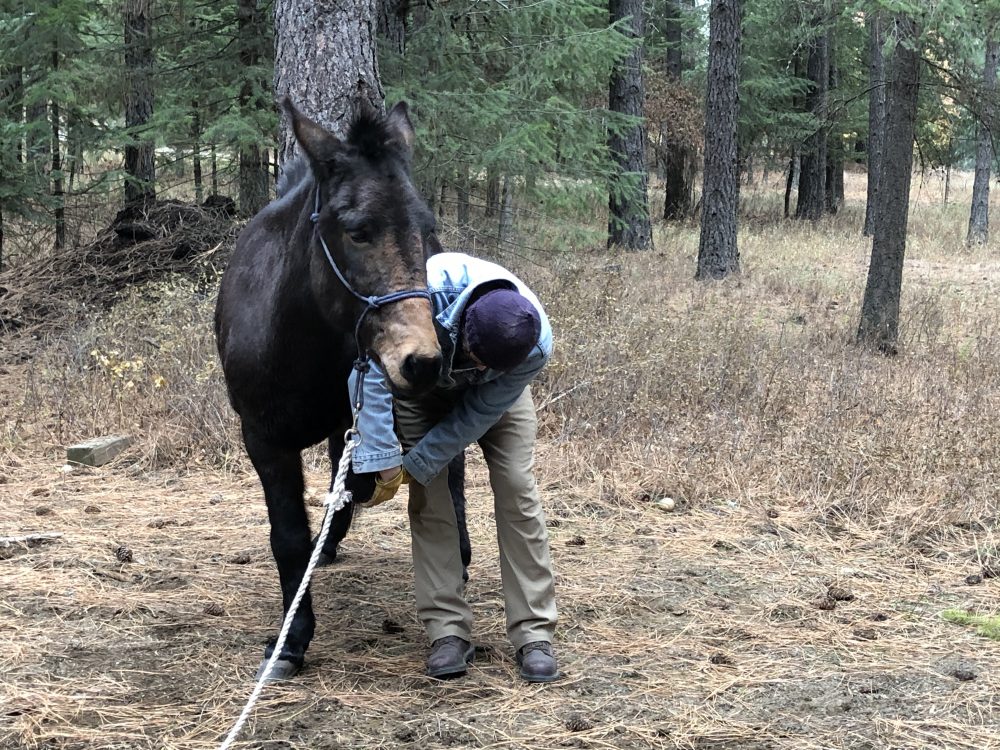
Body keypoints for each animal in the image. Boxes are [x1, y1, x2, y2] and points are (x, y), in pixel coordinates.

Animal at [219, 100, 450, 680]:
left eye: (427, 228)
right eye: (357, 231)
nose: (423, 362)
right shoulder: (263, 441)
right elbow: (287, 536)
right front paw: (291, 640)